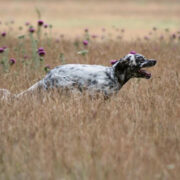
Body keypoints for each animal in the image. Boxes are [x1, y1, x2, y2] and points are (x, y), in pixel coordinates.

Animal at [0, 52, 156, 100]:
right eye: (140, 59)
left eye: (144, 57)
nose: (154, 60)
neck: (113, 75)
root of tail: (48, 75)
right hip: (72, 91)